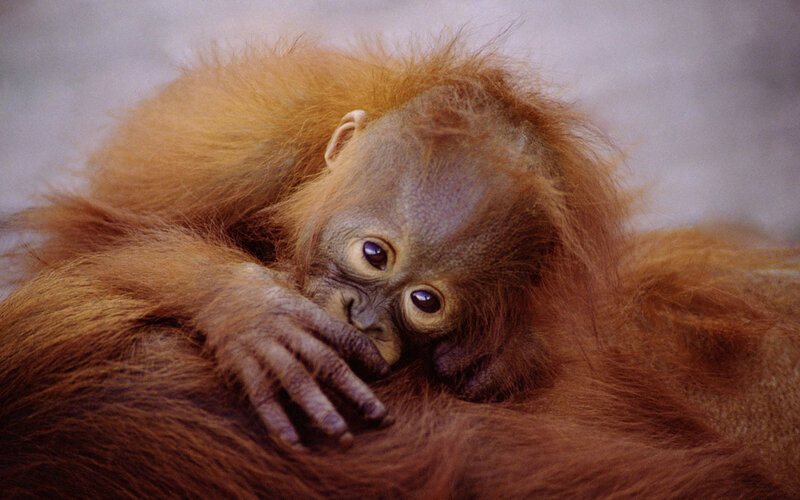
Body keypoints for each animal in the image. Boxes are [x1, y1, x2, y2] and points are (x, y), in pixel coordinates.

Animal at [1, 37, 798, 497]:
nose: (361, 317)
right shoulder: (247, 149)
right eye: (373, 256)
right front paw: (256, 316)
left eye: (424, 302)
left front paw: (505, 354)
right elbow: (99, 240)